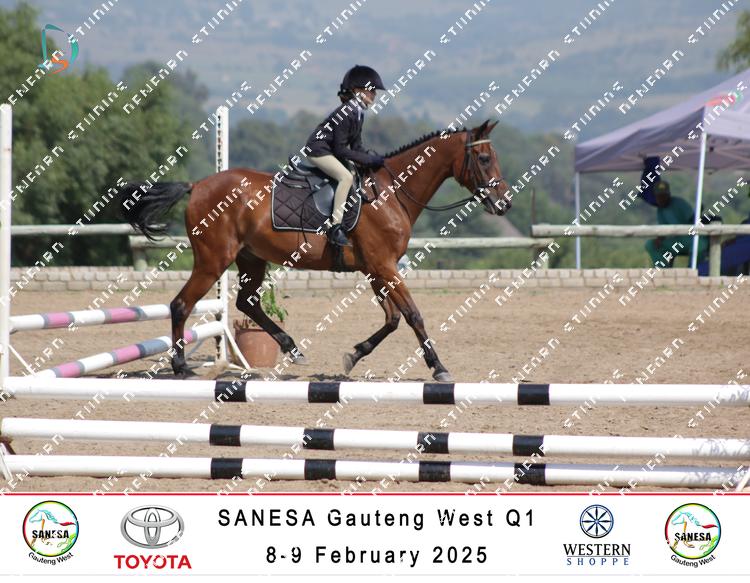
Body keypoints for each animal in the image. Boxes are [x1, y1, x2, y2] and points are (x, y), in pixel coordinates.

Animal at [119, 119, 511, 382]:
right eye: (485, 158)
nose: (504, 203)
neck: (392, 193)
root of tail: (197, 184)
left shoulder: (375, 269)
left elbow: (392, 319)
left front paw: (354, 355)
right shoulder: (385, 267)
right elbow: (413, 315)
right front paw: (439, 368)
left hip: (251, 258)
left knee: (246, 302)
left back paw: (293, 349)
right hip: (214, 260)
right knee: (181, 304)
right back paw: (181, 367)